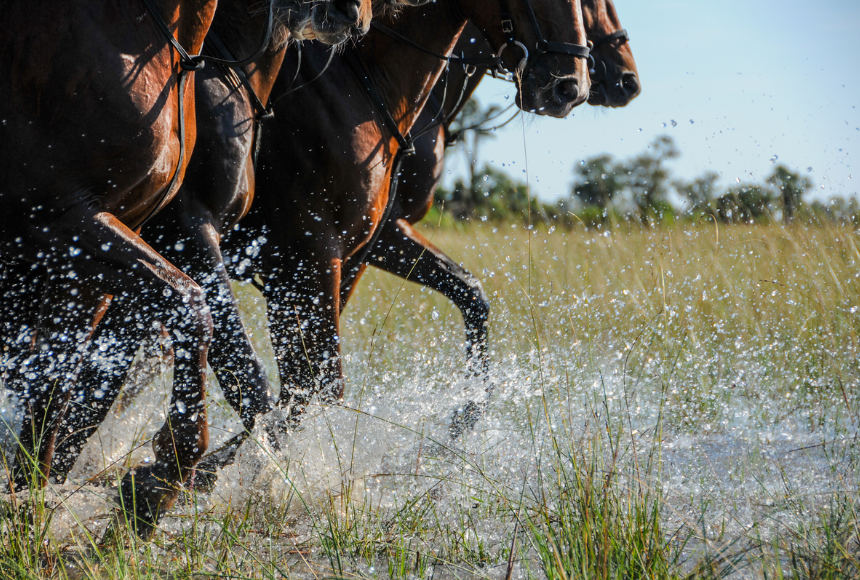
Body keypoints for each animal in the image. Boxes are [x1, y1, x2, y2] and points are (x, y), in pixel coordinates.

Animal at [0, 0, 371, 537]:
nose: (356, 13)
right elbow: (199, 317)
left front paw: (33, 510)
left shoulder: (89, 254)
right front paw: (162, 478)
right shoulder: (72, 222)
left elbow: (58, 393)